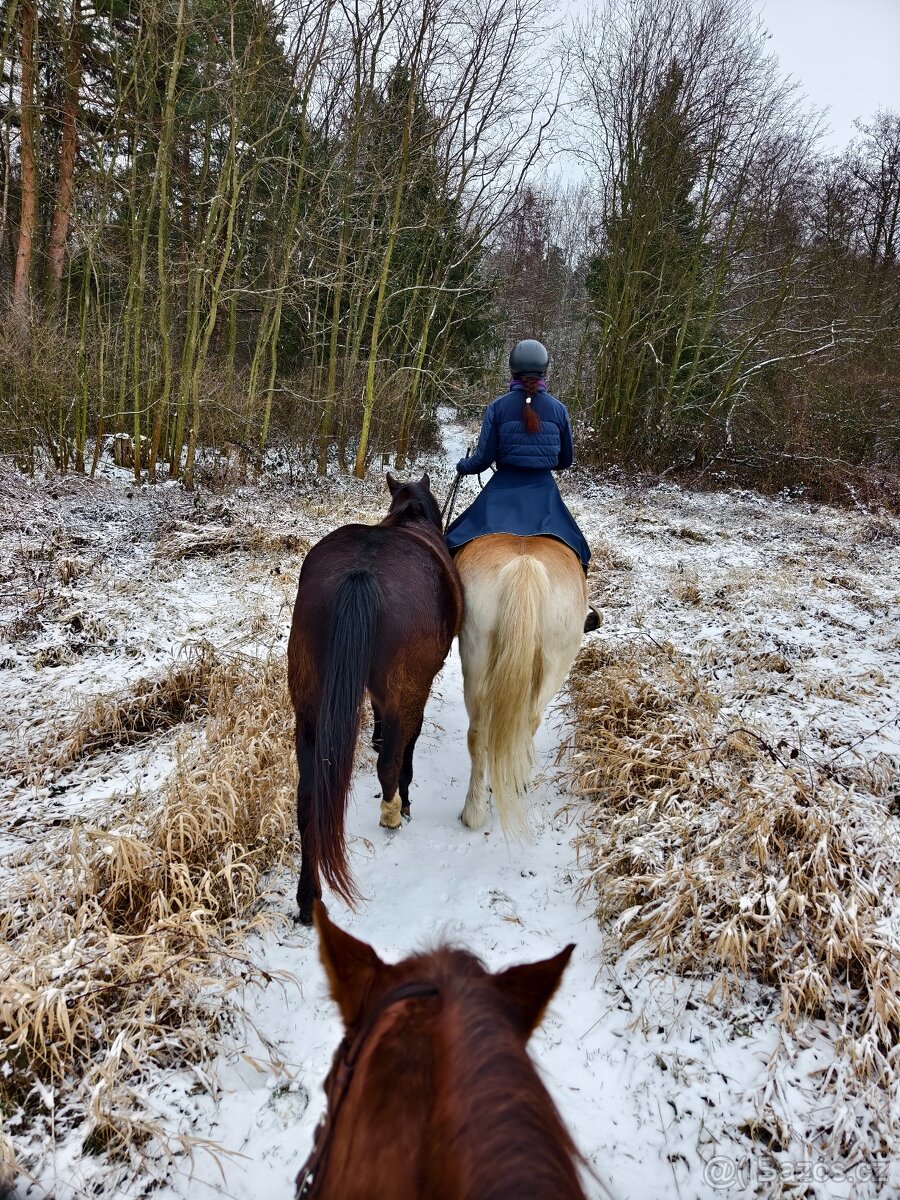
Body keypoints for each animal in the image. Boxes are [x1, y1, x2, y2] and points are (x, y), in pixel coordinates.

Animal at [287, 472, 463, 925]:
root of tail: (360, 573)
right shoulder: (416, 689)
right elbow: (404, 745)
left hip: (309, 705)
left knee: (308, 797)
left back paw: (308, 898)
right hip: (408, 687)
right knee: (391, 763)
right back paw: (394, 812)